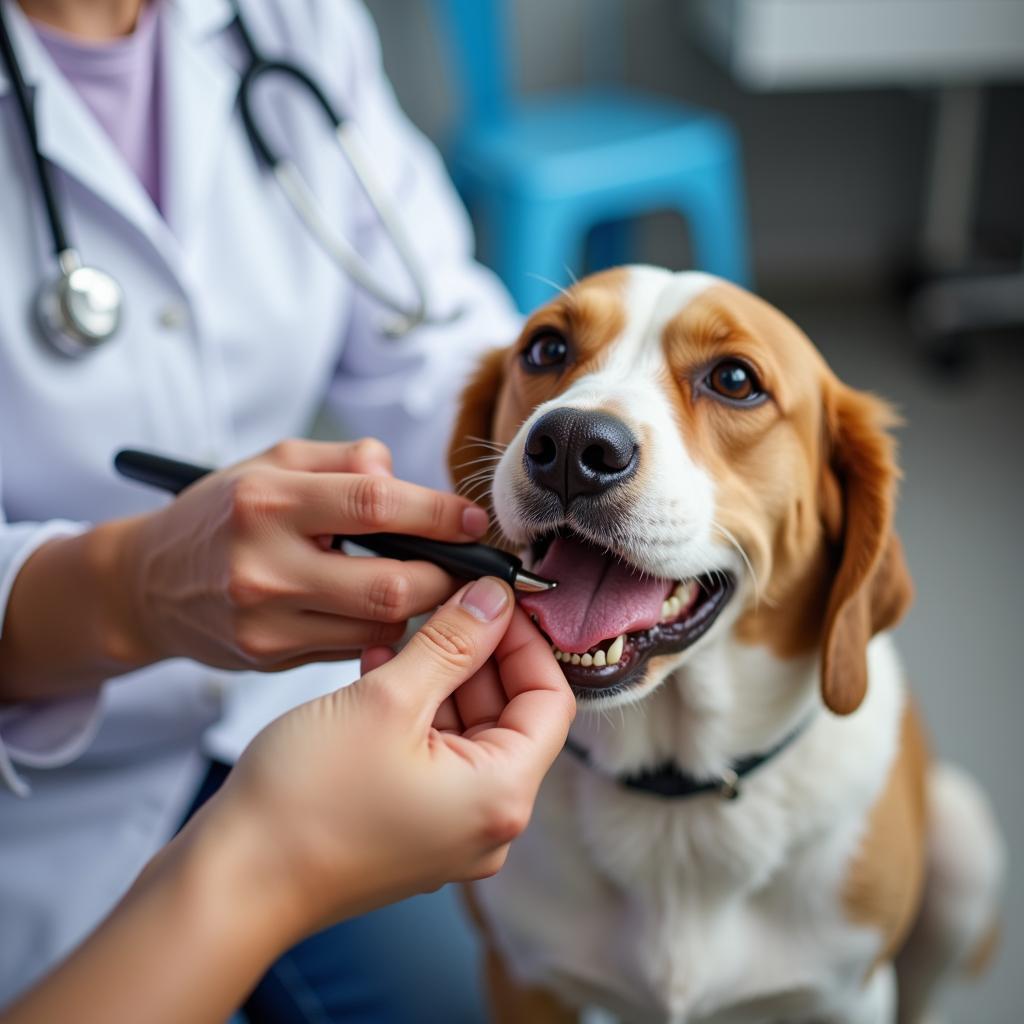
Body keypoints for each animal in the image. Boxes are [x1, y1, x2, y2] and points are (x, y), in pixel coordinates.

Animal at [450, 266, 1007, 1024]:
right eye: (545, 349)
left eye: (735, 380)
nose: (570, 445)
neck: (677, 803)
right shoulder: (522, 977)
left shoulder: (850, 995)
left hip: (965, 848)